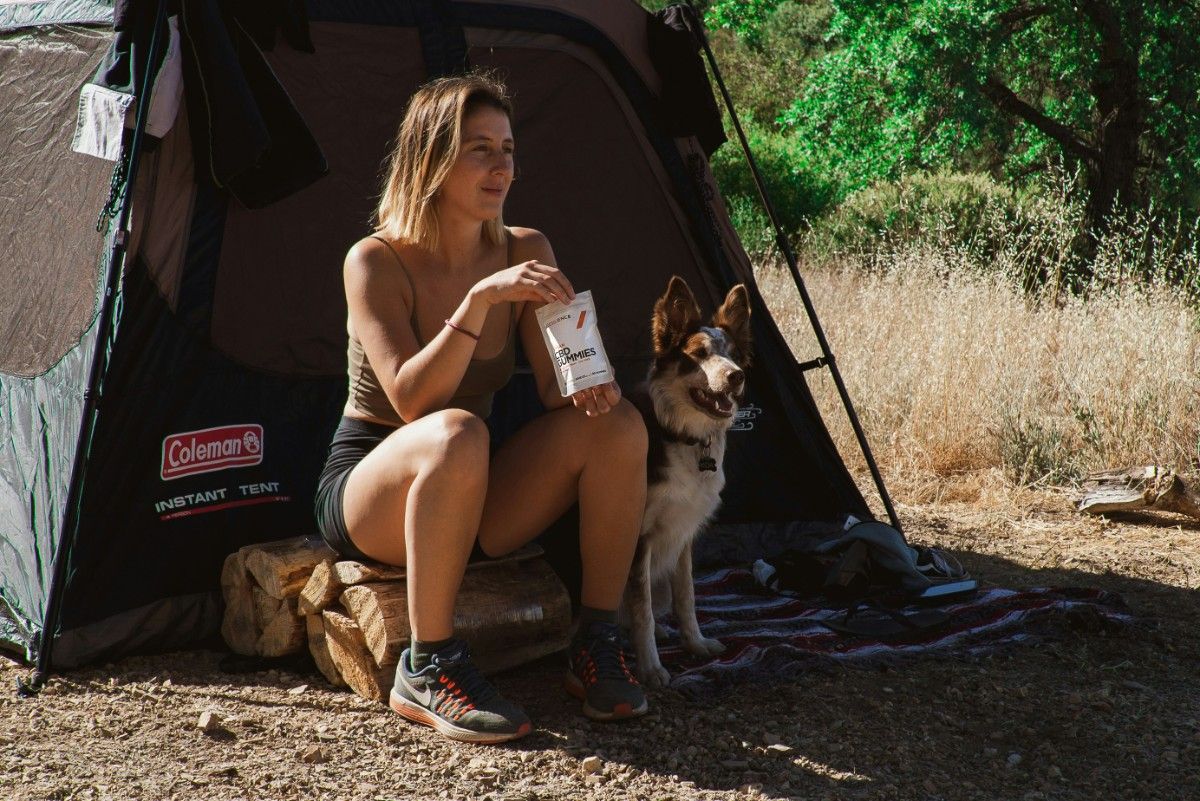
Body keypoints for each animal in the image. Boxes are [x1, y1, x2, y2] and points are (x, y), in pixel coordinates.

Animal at [628, 276, 748, 690]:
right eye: (699, 353)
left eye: (735, 355)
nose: (737, 375)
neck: (686, 437)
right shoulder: (639, 536)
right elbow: (642, 609)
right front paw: (650, 667)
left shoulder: (684, 531)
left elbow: (687, 595)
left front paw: (694, 644)